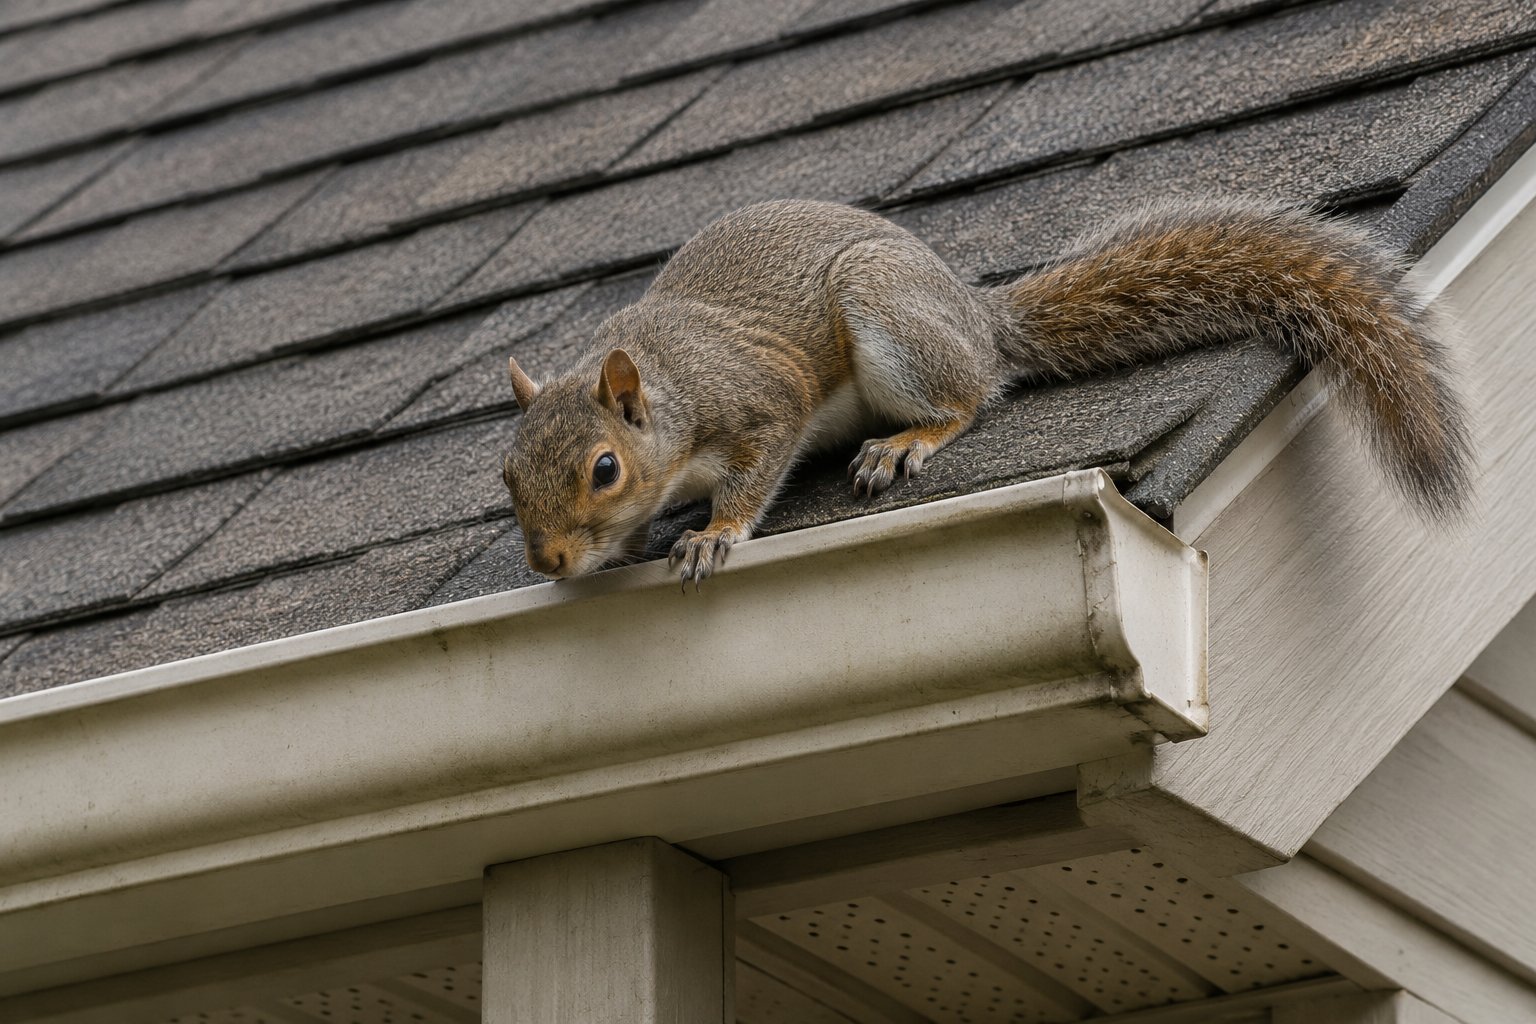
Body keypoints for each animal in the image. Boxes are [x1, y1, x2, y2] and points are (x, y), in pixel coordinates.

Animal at [501, 196, 1470, 586]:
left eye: (603, 470)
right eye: (507, 478)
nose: (546, 563)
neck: (667, 390)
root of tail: (975, 319)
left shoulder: (757, 401)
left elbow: (754, 471)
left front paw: (712, 535)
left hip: (890, 317)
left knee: (966, 398)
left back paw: (907, 442)